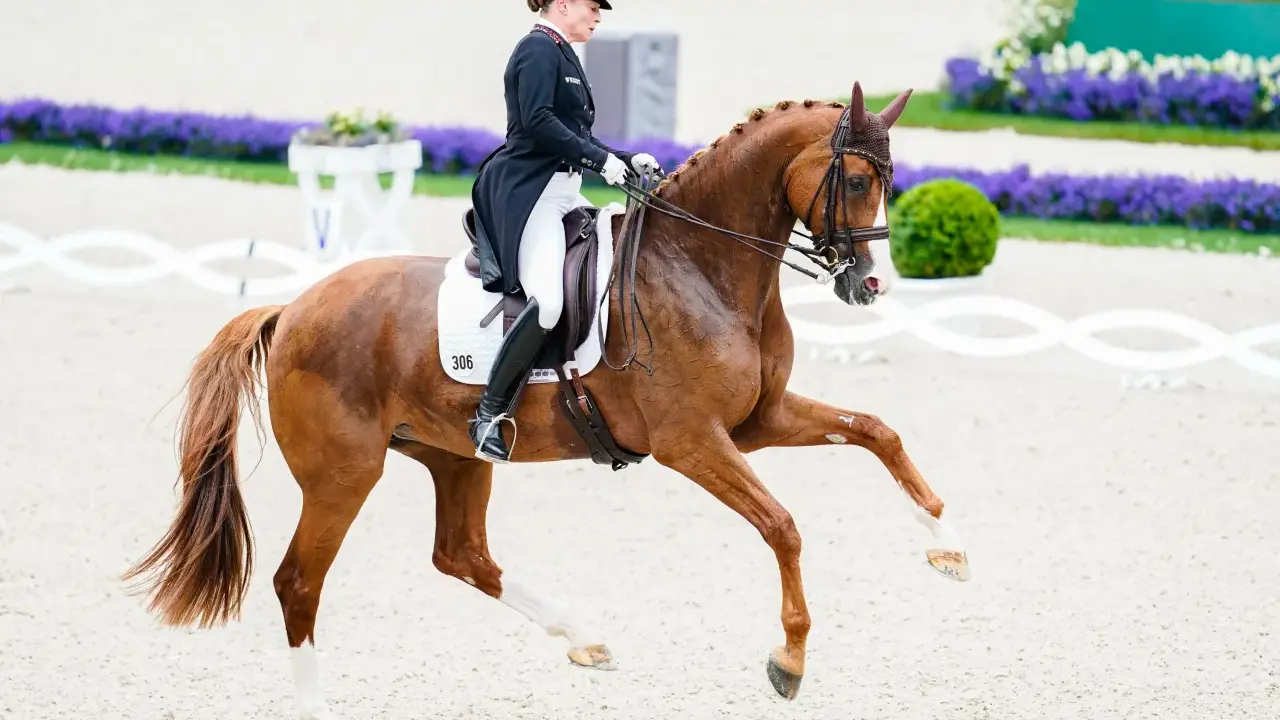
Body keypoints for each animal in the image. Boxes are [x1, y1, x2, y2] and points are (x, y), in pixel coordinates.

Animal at [122, 81, 970, 716]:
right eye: (856, 180)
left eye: (889, 182)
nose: (868, 285)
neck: (701, 266)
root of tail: (291, 309)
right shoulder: (692, 441)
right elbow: (784, 526)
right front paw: (788, 659)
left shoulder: (756, 422)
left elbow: (876, 430)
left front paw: (947, 546)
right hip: (344, 474)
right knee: (299, 581)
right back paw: (318, 704)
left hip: (454, 455)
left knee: (461, 554)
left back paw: (583, 638)